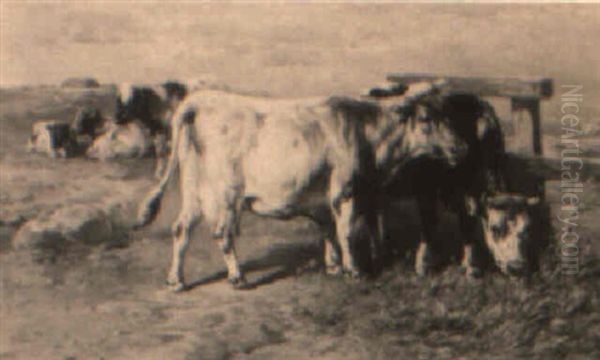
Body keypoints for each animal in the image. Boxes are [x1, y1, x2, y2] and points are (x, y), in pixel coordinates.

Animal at [136, 83, 468, 292]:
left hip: (194, 187)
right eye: (425, 119)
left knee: (182, 229)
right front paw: (354, 271)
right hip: (227, 193)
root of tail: (199, 101)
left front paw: (334, 267)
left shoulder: (323, 198)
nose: (459, 147)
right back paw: (237, 278)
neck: (365, 132)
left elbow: (329, 230)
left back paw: (176, 281)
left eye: (449, 117)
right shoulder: (345, 190)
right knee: (222, 233)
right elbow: (346, 232)